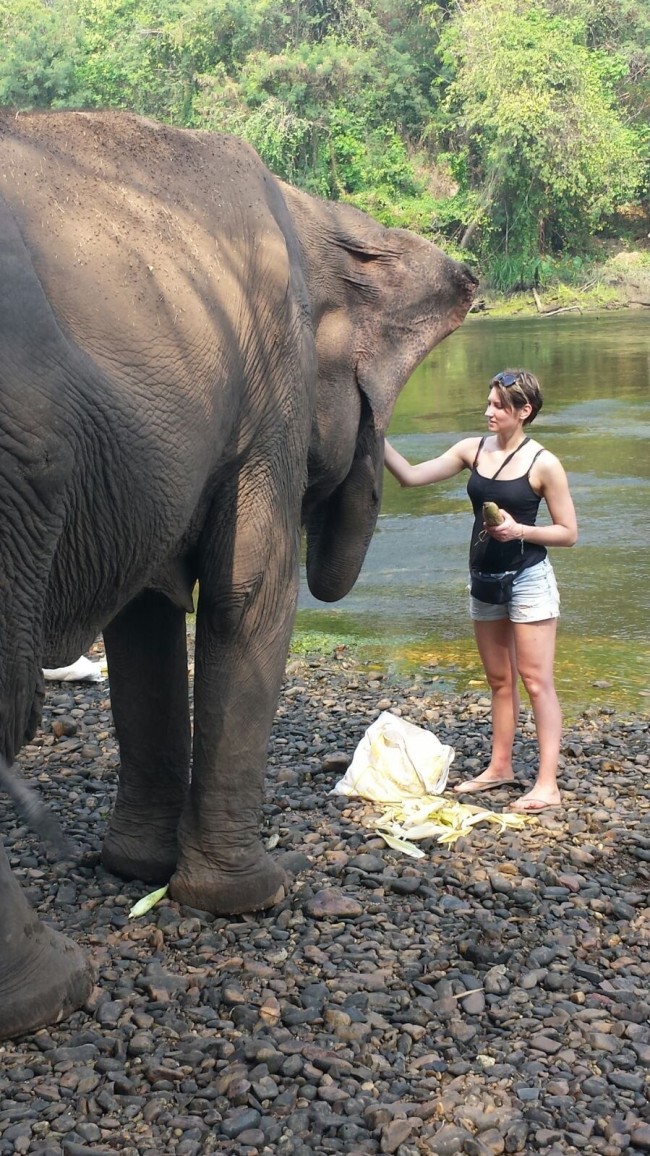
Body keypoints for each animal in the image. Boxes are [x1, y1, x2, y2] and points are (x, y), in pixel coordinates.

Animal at [0, 108, 476, 1040]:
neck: (315, 212)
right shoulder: (269, 395)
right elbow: (248, 595)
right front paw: (255, 895)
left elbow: (146, 617)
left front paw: (134, 868)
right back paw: (51, 993)